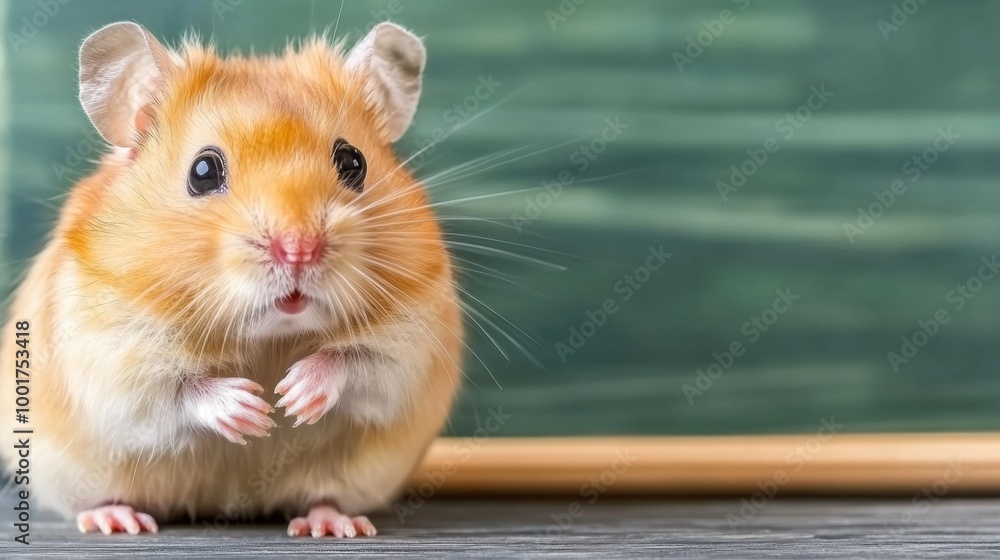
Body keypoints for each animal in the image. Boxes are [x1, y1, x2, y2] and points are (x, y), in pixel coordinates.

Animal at [0, 21, 463, 538]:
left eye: (353, 162)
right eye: (202, 171)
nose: (298, 249)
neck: (270, 337)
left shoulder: (412, 338)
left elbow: (359, 362)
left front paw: (292, 397)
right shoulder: (111, 351)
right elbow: (175, 389)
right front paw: (253, 413)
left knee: (324, 496)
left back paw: (333, 525)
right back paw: (117, 520)